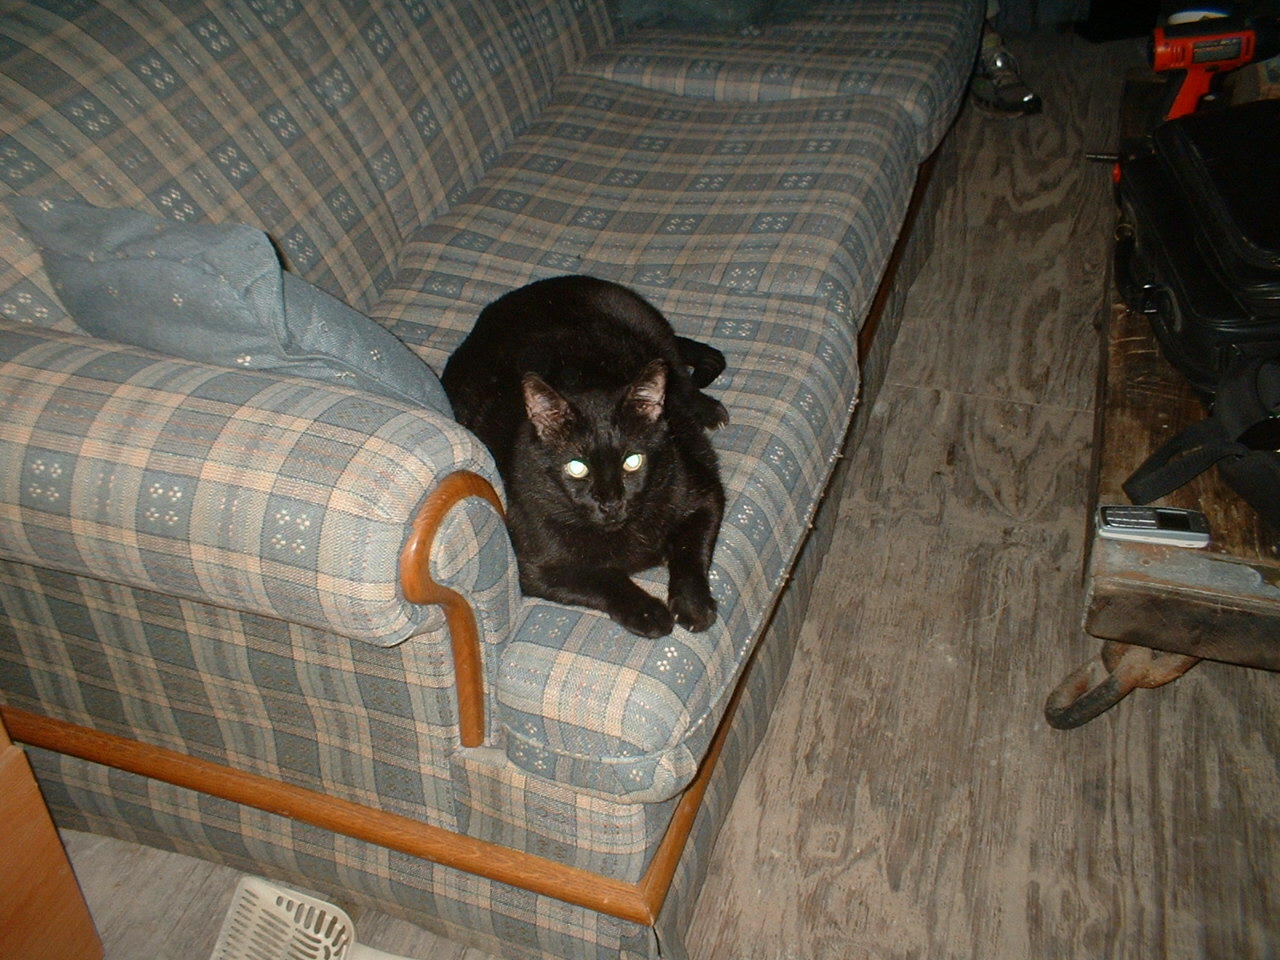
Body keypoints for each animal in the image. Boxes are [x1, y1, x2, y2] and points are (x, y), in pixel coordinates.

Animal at [442, 275, 727, 638]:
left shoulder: (704, 494)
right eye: (577, 467)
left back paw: (708, 409)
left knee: (682, 378)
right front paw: (648, 612)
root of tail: (535, 291)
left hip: (654, 334)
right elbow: (602, 578)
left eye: (632, 461)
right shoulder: (535, 566)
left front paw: (693, 605)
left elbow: (691, 553)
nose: (610, 502)